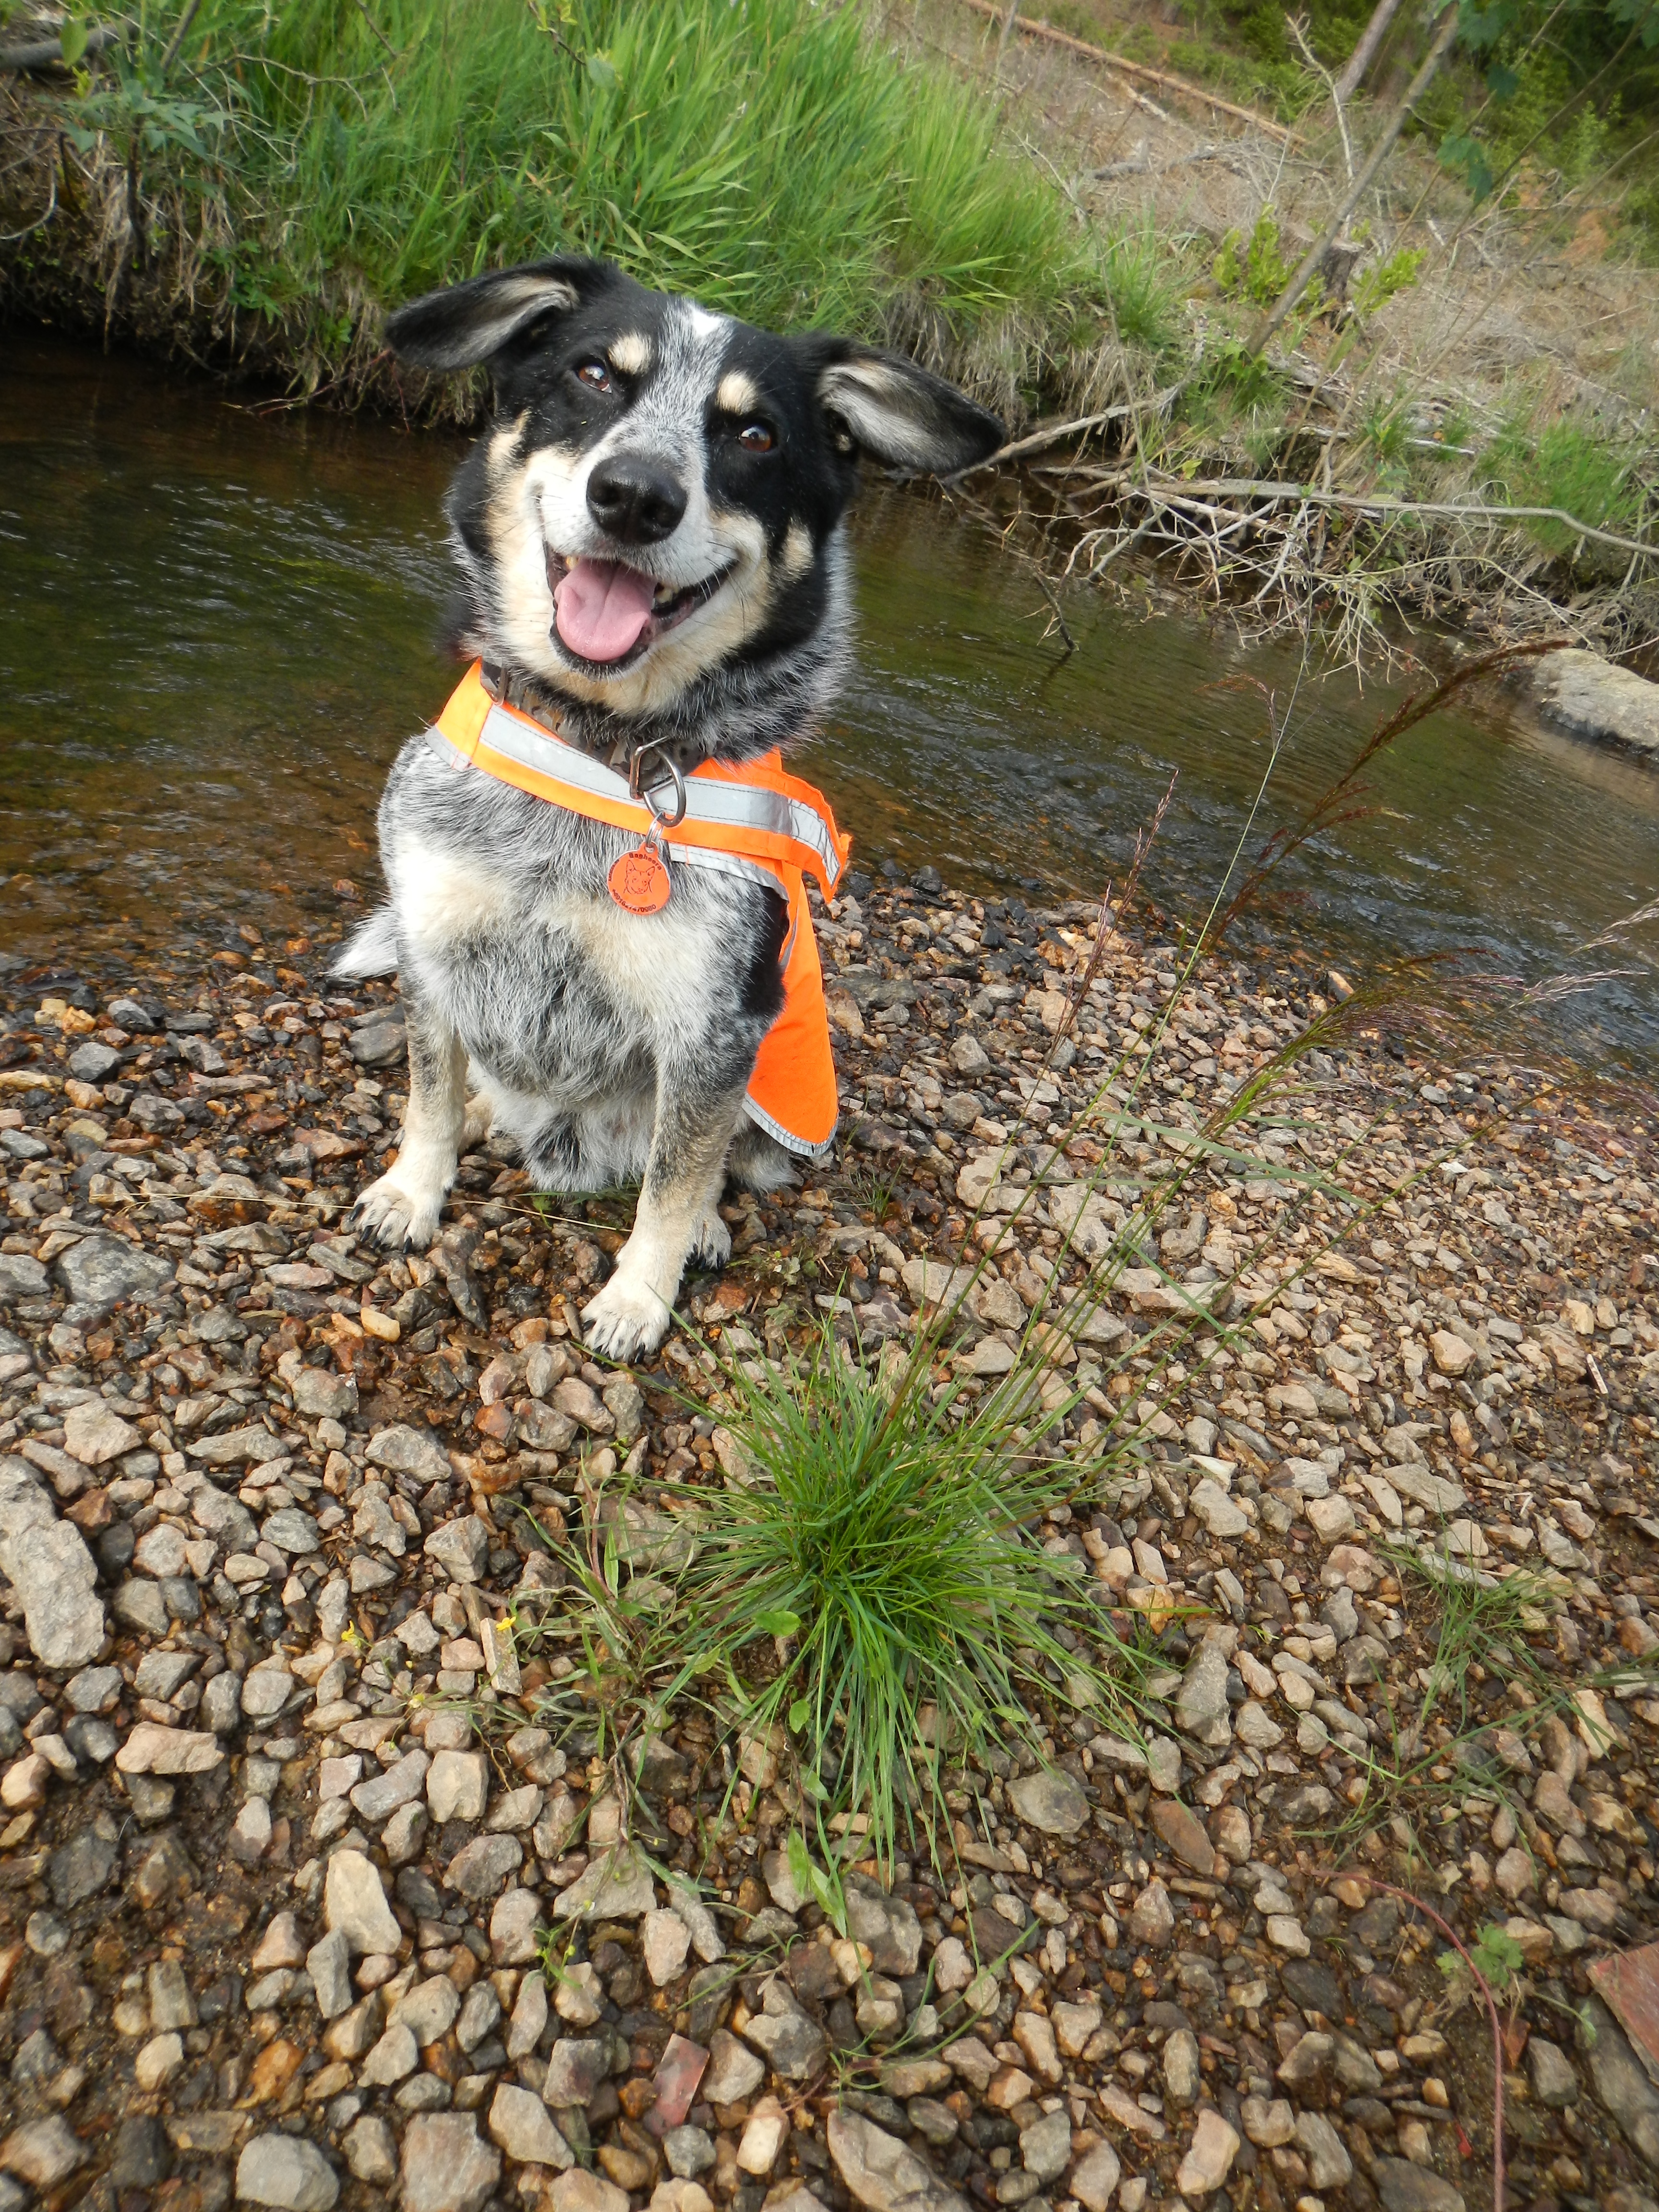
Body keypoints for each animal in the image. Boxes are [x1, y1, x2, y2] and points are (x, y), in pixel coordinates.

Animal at [340, 261, 999, 1362]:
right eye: (595, 374)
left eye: (757, 434)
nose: (636, 495)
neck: (604, 751)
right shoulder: (434, 946)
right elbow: (430, 1094)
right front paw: (412, 1190)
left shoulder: (710, 1033)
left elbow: (675, 1179)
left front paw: (639, 1295)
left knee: (720, 1162)